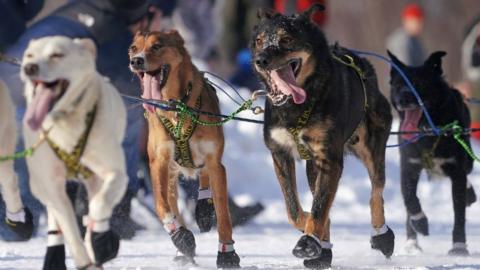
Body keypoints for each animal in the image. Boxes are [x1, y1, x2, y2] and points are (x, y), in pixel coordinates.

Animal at [21, 36, 127, 270]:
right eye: (29, 55)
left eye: (57, 54)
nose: (29, 67)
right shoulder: (51, 186)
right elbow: (69, 229)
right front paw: (83, 260)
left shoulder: (115, 174)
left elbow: (99, 205)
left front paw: (100, 241)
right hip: (41, 186)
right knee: (55, 217)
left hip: (93, 178)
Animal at [127, 31, 240, 268]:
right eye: (133, 48)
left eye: (157, 46)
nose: (136, 61)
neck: (176, 107)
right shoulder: (159, 162)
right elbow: (162, 205)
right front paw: (180, 236)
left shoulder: (216, 163)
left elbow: (223, 214)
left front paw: (227, 254)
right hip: (170, 173)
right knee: (172, 201)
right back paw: (182, 249)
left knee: (204, 179)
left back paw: (204, 208)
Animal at [251, 5, 394, 268]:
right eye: (259, 41)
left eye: (286, 39)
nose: (261, 60)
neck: (297, 107)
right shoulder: (280, 153)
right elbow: (295, 209)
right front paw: (310, 232)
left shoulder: (329, 158)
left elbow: (319, 207)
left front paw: (308, 241)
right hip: (312, 167)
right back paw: (323, 249)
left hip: (371, 148)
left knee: (376, 191)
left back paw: (381, 236)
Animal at [390, 50, 476, 255]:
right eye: (398, 85)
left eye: (419, 84)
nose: (403, 99)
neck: (428, 131)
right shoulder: (409, 167)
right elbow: (409, 198)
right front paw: (419, 222)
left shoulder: (456, 171)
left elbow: (459, 213)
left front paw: (459, 246)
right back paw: (412, 243)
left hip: (466, 159)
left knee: (467, 176)